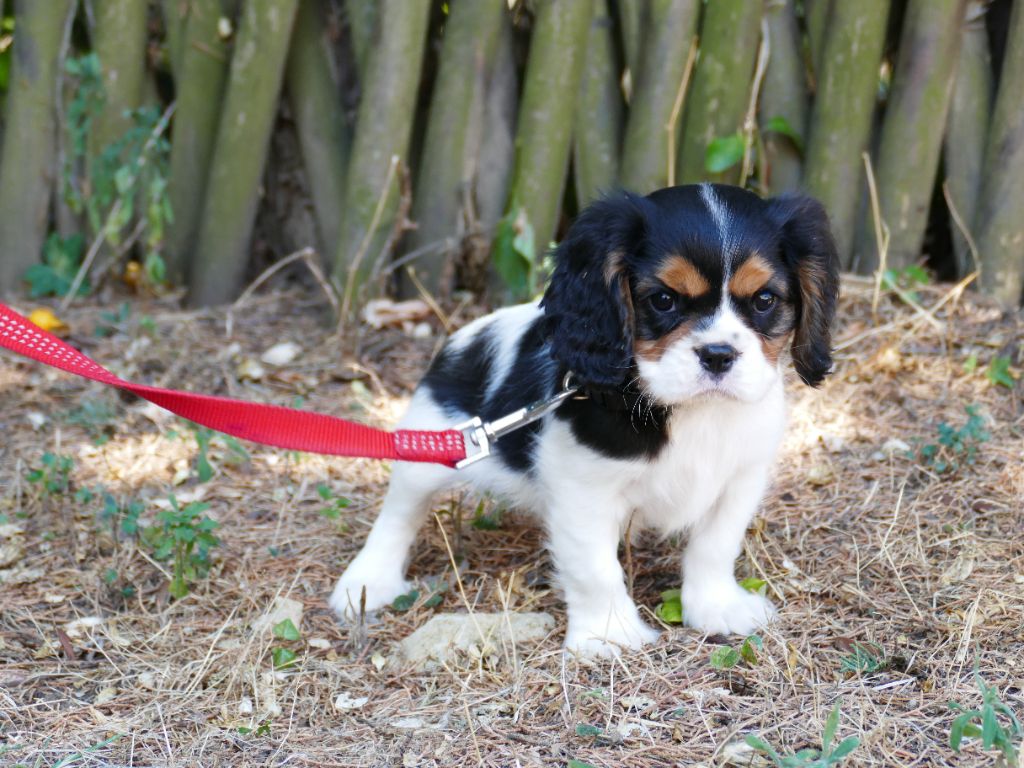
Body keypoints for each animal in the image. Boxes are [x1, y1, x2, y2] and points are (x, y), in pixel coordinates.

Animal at [331, 185, 835, 655]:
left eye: (765, 300)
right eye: (664, 300)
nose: (718, 354)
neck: (693, 411)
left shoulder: (741, 477)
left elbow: (715, 545)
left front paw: (716, 606)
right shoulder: (582, 490)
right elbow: (595, 568)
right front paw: (609, 634)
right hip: (432, 442)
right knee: (400, 512)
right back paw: (368, 580)